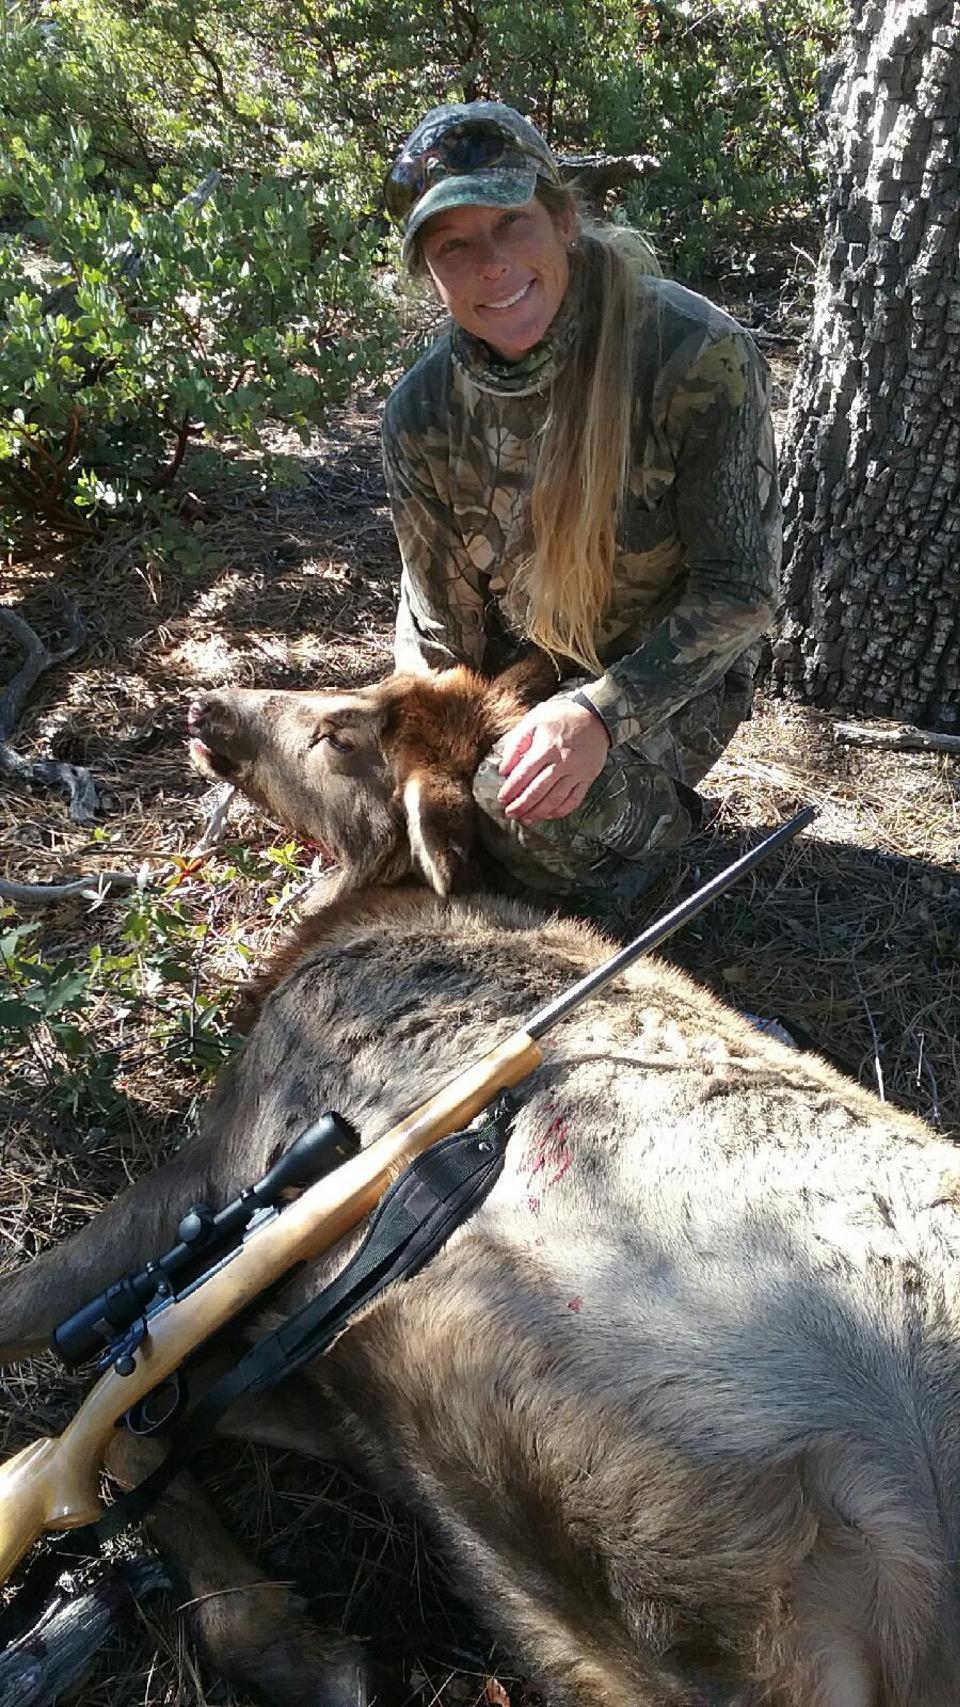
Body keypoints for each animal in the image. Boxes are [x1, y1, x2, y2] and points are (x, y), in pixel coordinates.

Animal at [1, 655, 956, 1707]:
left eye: (338, 733)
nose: (208, 704)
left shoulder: (231, 1153)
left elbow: (53, 1341)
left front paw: (308, 1652)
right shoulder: (331, 1376)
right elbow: (132, 1430)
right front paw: (308, 1648)